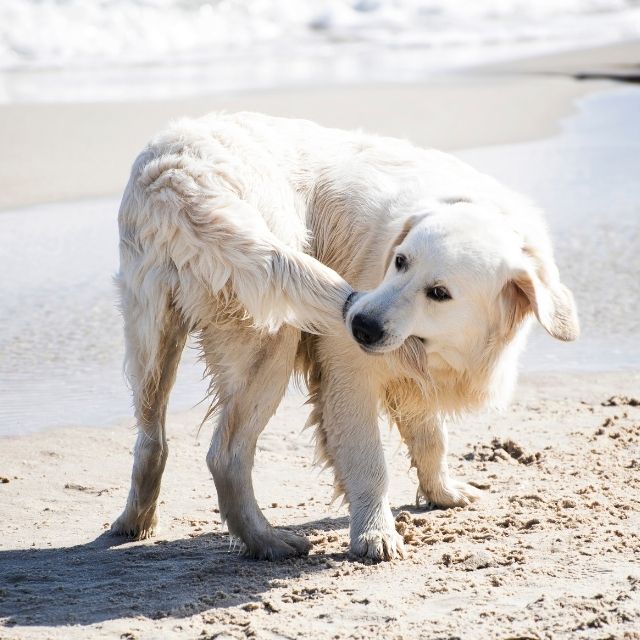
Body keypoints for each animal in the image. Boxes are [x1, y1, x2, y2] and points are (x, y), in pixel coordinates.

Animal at [111, 111, 580, 560]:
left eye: (439, 293)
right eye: (400, 261)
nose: (361, 324)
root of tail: (178, 177)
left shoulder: (412, 376)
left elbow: (431, 437)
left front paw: (442, 493)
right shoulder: (347, 369)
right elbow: (369, 462)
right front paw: (375, 533)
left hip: (153, 337)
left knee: (151, 440)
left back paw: (135, 522)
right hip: (272, 335)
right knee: (225, 455)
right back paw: (267, 541)